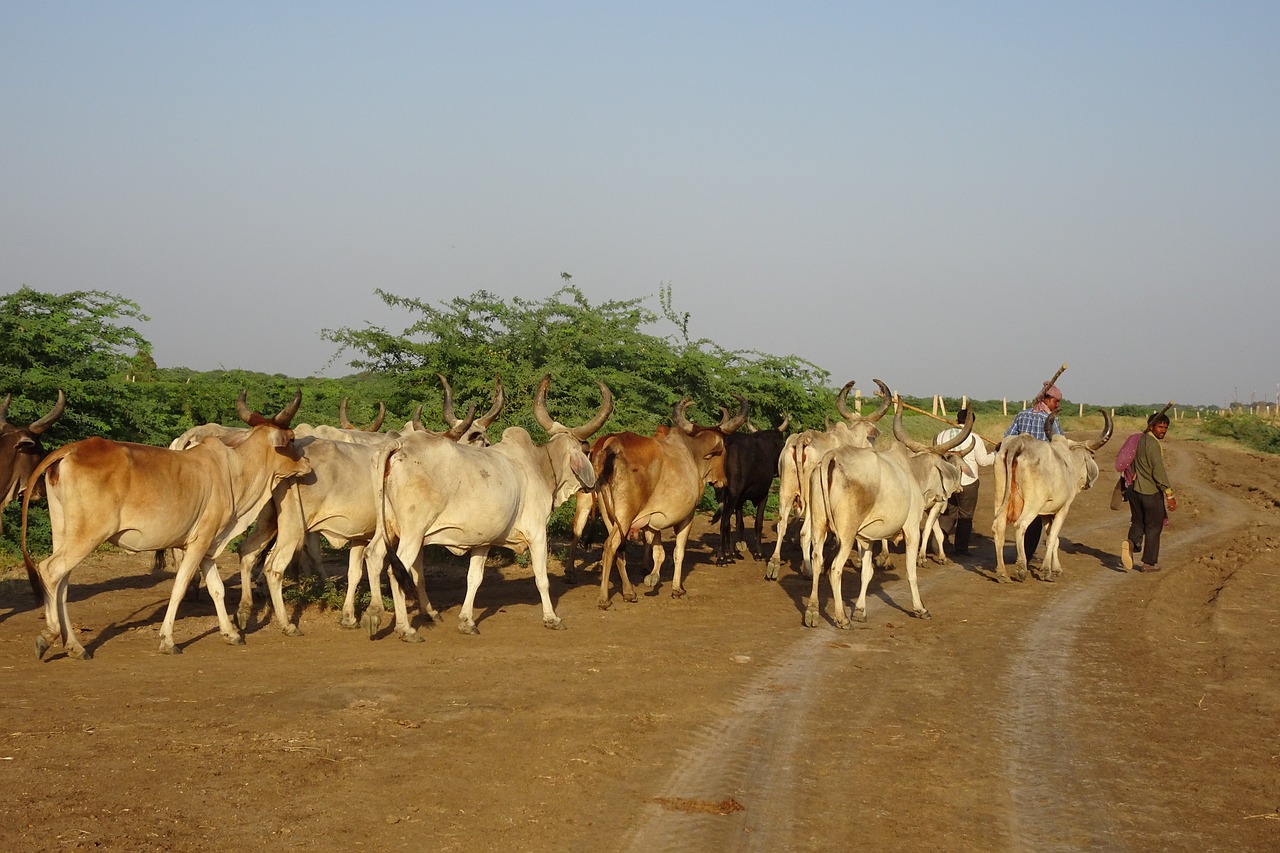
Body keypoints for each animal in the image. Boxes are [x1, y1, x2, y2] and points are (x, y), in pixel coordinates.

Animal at [22, 386, 312, 655]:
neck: (233, 470)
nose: (308, 464)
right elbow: (180, 587)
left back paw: (74, 645)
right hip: (88, 535)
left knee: (62, 582)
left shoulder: (208, 545)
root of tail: (72, 449)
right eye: (291, 439)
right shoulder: (198, 542)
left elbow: (217, 588)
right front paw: (168, 640)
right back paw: (50, 635)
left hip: (63, 532)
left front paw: (230, 633)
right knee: (49, 570)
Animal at [586, 394, 747, 607]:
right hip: (626, 514)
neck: (691, 453)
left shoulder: (651, 521)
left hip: (609, 514)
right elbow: (678, 552)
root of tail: (611, 444)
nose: (722, 480)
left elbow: (658, 551)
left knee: (618, 550)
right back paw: (604, 597)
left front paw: (652, 577)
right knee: (610, 546)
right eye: (722, 452)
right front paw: (677, 588)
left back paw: (629, 592)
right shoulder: (687, 516)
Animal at [711, 414, 788, 560]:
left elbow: (740, 523)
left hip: (722, 493)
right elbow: (758, 522)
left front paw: (737, 547)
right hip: (733, 493)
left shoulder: (740, 499)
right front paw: (758, 552)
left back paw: (729, 553)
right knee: (724, 521)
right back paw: (722, 556)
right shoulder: (763, 494)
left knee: (726, 521)